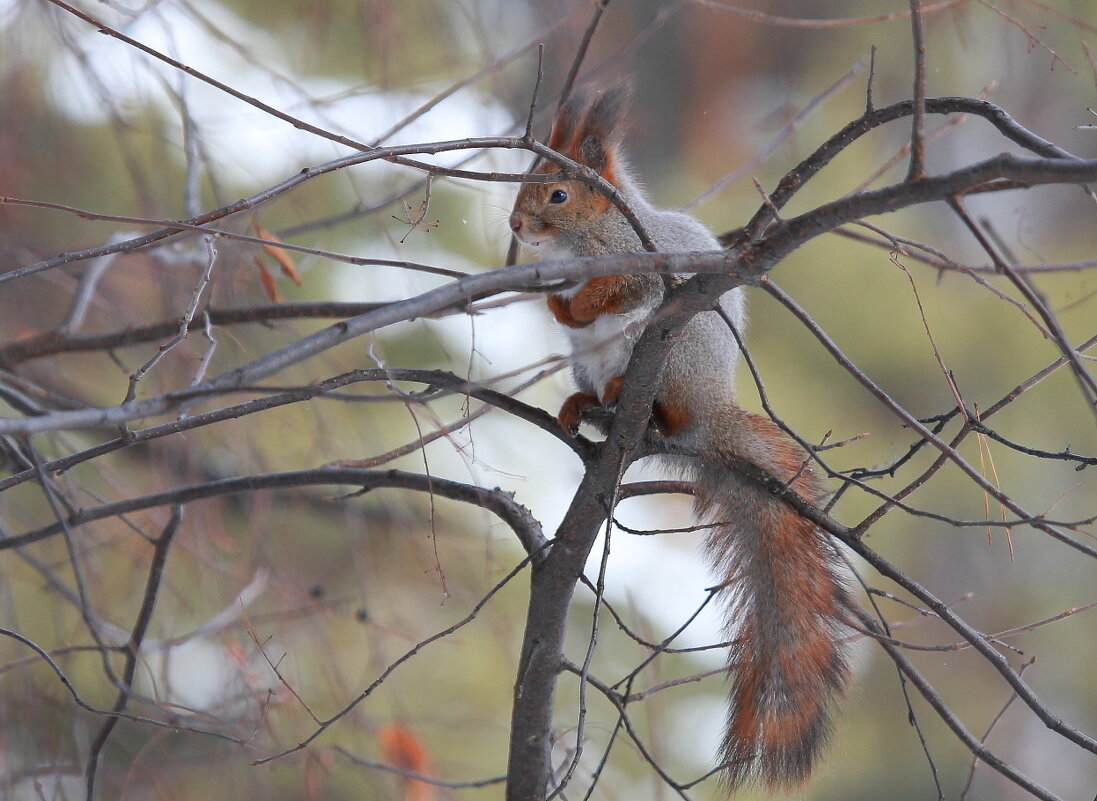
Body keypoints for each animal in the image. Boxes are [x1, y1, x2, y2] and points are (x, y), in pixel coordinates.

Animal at [506, 85, 855, 785]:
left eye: (557, 195)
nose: (515, 227)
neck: (581, 243)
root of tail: (709, 414)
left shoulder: (640, 263)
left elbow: (623, 287)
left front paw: (579, 303)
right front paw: (557, 303)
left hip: (676, 360)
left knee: (660, 402)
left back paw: (635, 403)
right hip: (590, 365)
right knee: (594, 392)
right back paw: (587, 406)